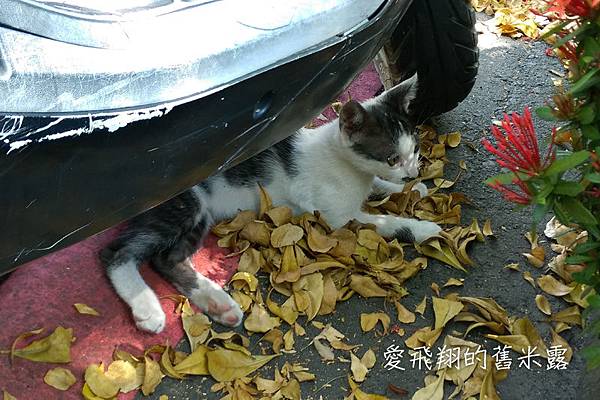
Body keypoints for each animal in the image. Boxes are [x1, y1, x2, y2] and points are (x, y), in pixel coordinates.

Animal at [99, 76, 440, 334]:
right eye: (392, 158)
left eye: (415, 149)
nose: (411, 173)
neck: (344, 162)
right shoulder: (334, 218)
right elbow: (383, 222)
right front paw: (423, 227)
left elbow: (379, 186)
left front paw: (410, 189)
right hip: (185, 204)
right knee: (117, 253)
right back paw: (148, 308)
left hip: (200, 216)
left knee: (166, 259)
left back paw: (217, 303)